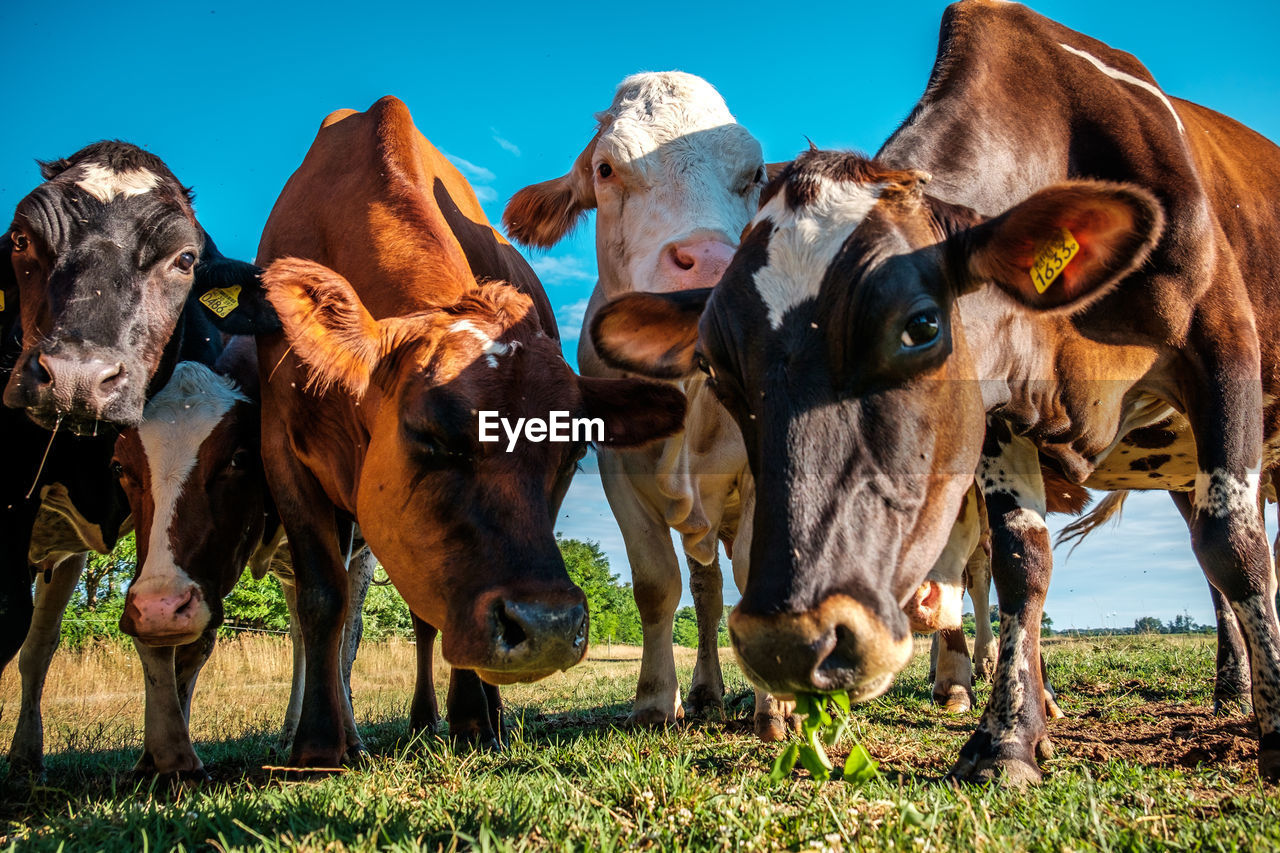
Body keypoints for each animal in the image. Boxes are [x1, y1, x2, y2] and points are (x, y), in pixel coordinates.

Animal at [252, 94, 691, 763]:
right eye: (428, 434)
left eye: (569, 451)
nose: (547, 626)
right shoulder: (280, 442)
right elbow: (323, 598)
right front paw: (322, 743)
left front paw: (471, 720)